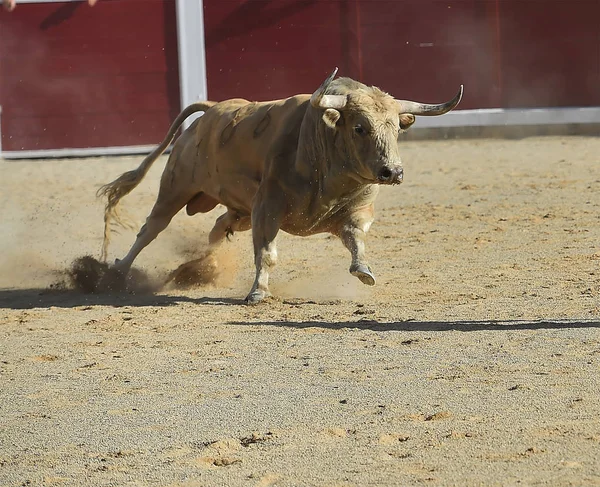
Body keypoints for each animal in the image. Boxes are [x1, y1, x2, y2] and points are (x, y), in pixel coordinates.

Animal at [99, 69, 464, 302]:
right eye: (360, 127)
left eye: (396, 128)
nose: (392, 171)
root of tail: (211, 110)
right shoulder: (266, 209)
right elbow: (267, 254)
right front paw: (257, 293)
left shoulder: (358, 210)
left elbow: (356, 240)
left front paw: (363, 271)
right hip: (175, 188)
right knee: (151, 229)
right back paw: (117, 270)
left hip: (238, 210)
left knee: (219, 226)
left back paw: (202, 262)